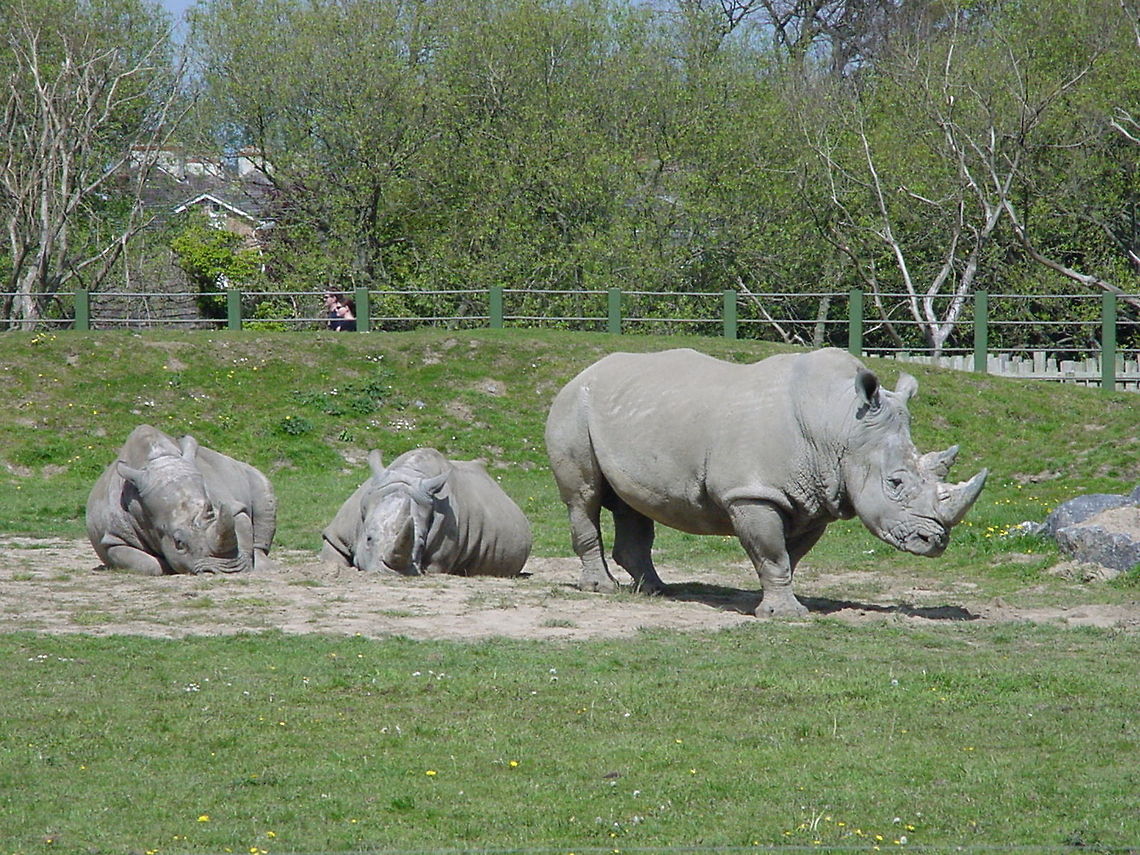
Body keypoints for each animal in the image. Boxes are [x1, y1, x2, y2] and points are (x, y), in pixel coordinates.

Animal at [86, 425, 278, 575]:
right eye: (178, 543)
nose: (229, 571)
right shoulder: (114, 537)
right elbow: (146, 564)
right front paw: (165, 565)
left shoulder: (232, 507)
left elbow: (241, 525)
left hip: (243, 468)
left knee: (263, 487)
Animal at [320, 447, 532, 577]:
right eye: (369, 538)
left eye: (421, 544)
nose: (390, 574)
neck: (408, 474)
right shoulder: (338, 535)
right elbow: (333, 554)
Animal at [544, 347, 987, 617]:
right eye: (895, 483)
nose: (935, 542)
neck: (840, 424)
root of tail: (581, 373)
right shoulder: (753, 494)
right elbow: (772, 553)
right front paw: (785, 615)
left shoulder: (815, 499)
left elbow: (790, 555)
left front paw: (781, 603)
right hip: (572, 408)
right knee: (583, 498)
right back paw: (602, 589)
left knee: (632, 503)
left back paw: (655, 591)